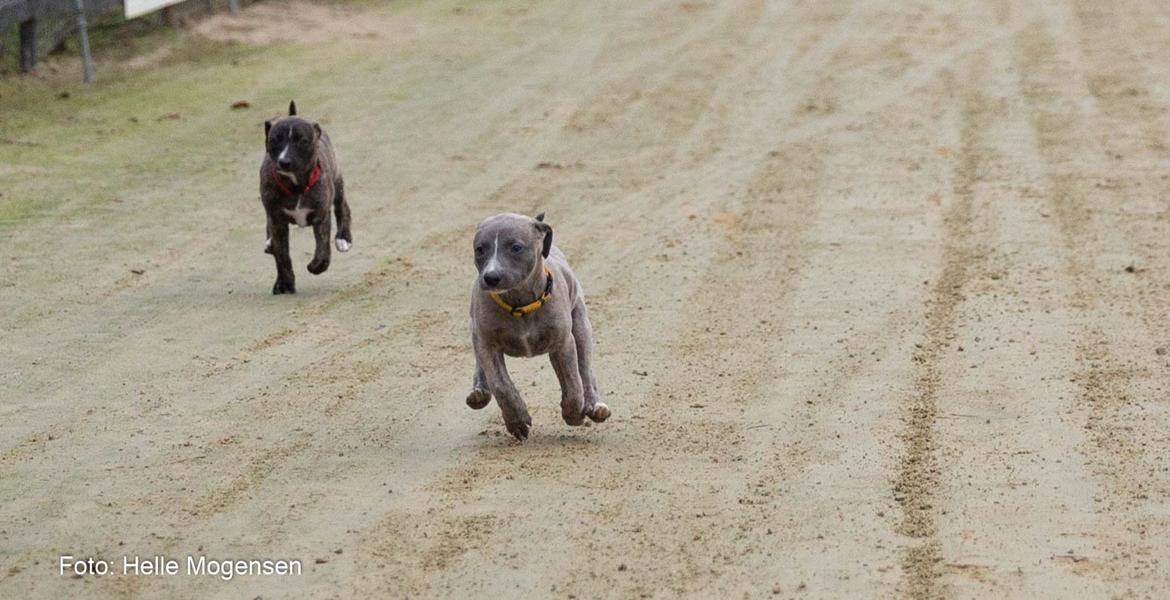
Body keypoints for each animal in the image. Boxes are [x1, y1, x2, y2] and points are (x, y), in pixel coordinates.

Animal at [263, 101, 353, 293]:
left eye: (302, 141)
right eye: (274, 140)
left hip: (337, 182)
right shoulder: (277, 220)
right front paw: (285, 284)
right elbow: (282, 256)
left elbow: (323, 250)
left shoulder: (321, 215)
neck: (296, 186)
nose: (284, 162)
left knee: (343, 208)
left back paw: (343, 238)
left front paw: (316, 266)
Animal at [467, 212, 613, 437]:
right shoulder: (487, 344)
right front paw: (517, 420)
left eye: (516, 247)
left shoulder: (563, 343)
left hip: (581, 327)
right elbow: (501, 385)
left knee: (585, 371)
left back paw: (594, 406)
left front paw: (573, 413)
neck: (520, 305)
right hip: (477, 335)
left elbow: (573, 383)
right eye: (479, 249)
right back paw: (479, 392)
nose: (491, 277)